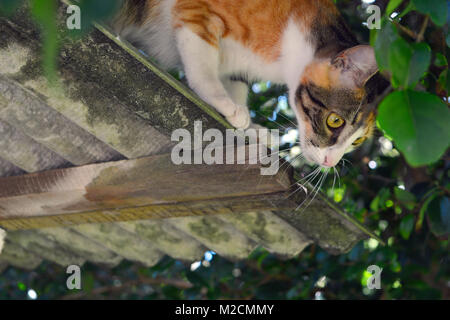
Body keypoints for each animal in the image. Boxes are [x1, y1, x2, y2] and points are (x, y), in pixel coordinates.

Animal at [113, 0, 386, 169]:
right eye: (335, 121)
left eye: (357, 142)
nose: (330, 163)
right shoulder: (197, 10)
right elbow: (202, 63)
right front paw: (223, 102)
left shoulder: (238, 66)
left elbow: (237, 83)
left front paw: (250, 126)